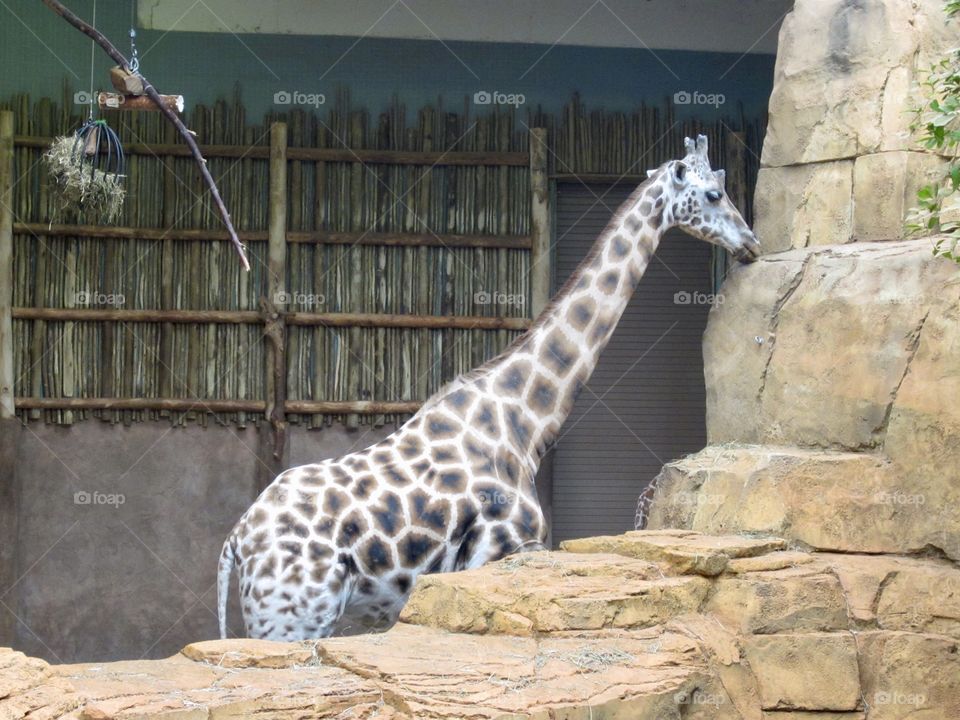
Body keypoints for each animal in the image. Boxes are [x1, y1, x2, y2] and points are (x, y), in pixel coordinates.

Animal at [218, 134, 759, 641]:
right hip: (292, 619)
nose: (751, 243)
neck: (524, 422)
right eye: (714, 193)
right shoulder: (501, 551)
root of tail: (235, 542)